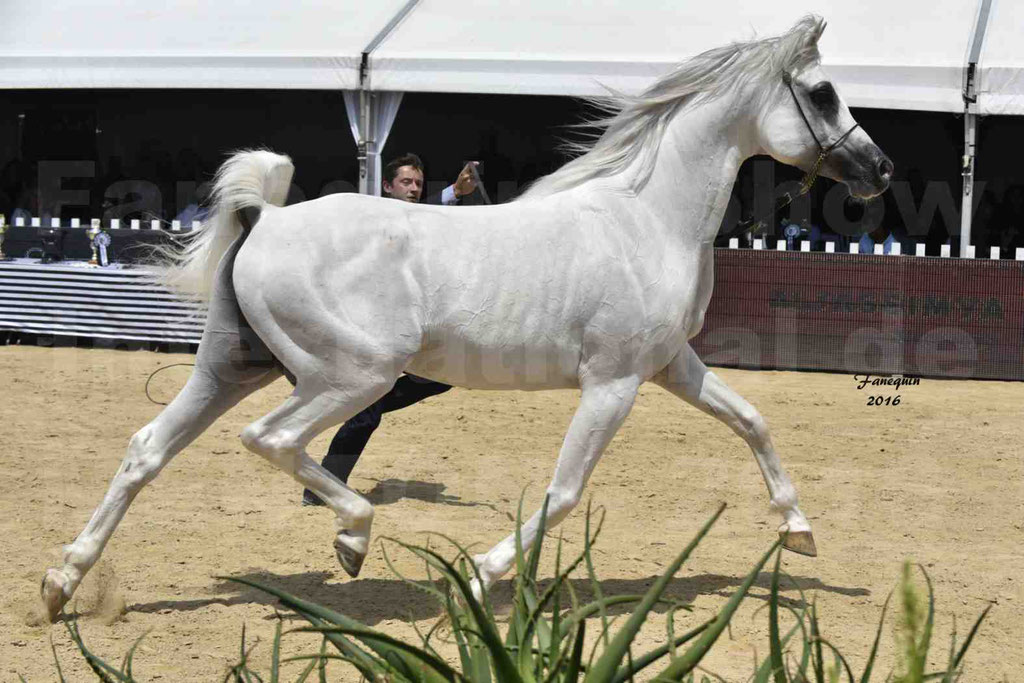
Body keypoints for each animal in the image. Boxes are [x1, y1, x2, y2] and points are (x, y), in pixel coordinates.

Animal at [39, 17, 888, 626]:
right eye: (822, 92)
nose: (879, 172)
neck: (645, 218)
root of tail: (265, 218)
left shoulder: (669, 364)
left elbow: (751, 420)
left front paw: (799, 530)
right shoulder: (613, 383)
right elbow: (564, 491)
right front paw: (479, 577)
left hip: (232, 367)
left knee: (147, 450)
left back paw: (61, 584)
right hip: (350, 374)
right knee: (273, 440)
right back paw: (351, 538)